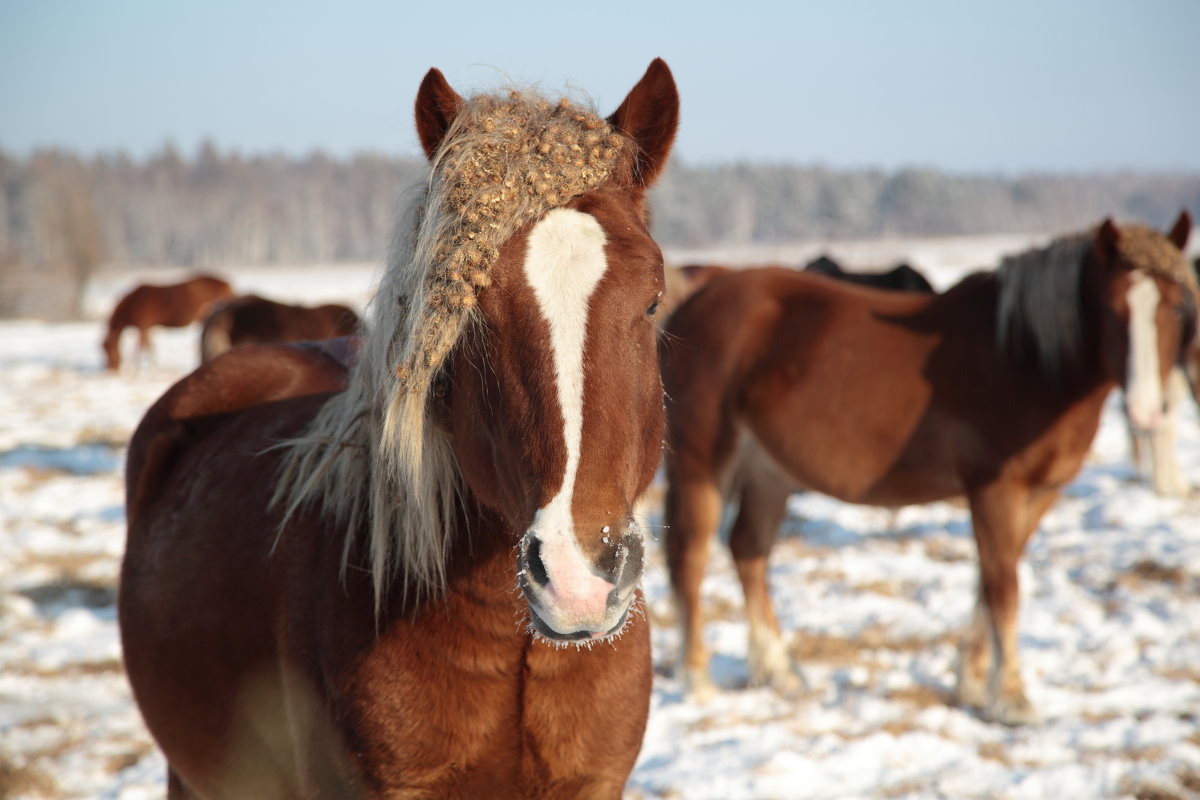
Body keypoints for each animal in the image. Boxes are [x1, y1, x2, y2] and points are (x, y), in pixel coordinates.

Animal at [103, 275, 236, 371]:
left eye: (108, 348)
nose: (112, 369)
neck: (133, 303)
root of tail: (225, 284)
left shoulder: (143, 326)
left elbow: (141, 347)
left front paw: (137, 369)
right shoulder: (149, 328)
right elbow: (151, 346)